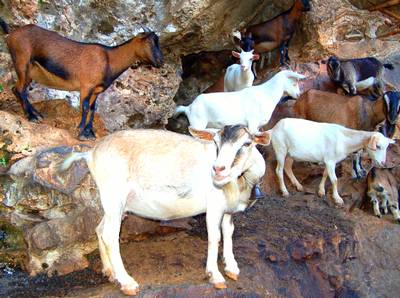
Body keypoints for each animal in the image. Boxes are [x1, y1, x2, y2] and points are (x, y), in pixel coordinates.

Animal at [0, 18, 163, 140]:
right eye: (149, 42)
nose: (160, 61)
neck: (109, 59)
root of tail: (11, 35)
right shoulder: (86, 86)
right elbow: (84, 107)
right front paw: (81, 132)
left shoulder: (96, 90)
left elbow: (92, 108)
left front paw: (89, 132)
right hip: (22, 62)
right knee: (21, 89)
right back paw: (32, 117)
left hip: (30, 72)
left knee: (16, 89)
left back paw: (36, 114)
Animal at [57, 124, 270, 294]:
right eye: (216, 143)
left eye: (247, 143)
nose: (218, 170)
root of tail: (91, 153)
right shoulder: (214, 207)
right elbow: (214, 237)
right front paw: (215, 276)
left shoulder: (228, 210)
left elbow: (228, 232)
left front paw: (232, 267)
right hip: (114, 196)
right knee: (110, 235)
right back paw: (127, 282)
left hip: (114, 204)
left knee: (100, 229)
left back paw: (110, 272)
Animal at [176, 70, 306, 133]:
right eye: (294, 83)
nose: (298, 95)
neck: (266, 94)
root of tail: (189, 107)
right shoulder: (253, 123)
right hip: (198, 123)